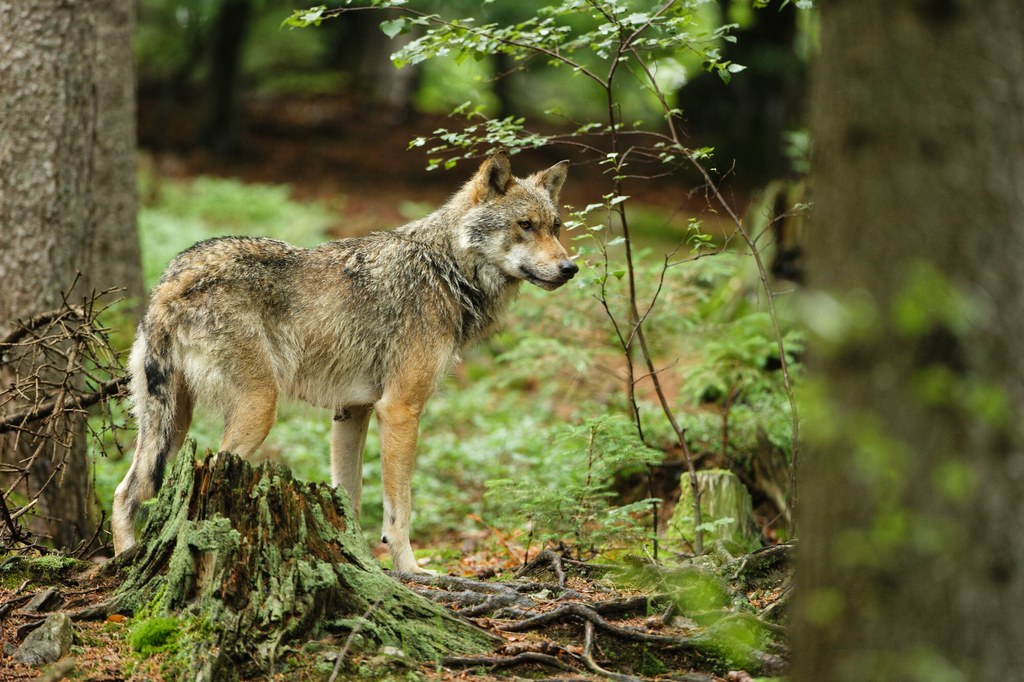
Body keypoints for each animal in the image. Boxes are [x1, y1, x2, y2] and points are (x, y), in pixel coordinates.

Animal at [114, 151, 577, 569]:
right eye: (525, 225)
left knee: (125, 491)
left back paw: (125, 562)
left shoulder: (352, 411)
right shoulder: (400, 409)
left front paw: (359, 561)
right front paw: (410, 571)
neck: (445, 269)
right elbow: (399, 508)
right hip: (257, 409)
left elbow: (349, 501)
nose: (570, 268)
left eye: (555, 227)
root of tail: (172, 281)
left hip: (170, 424)